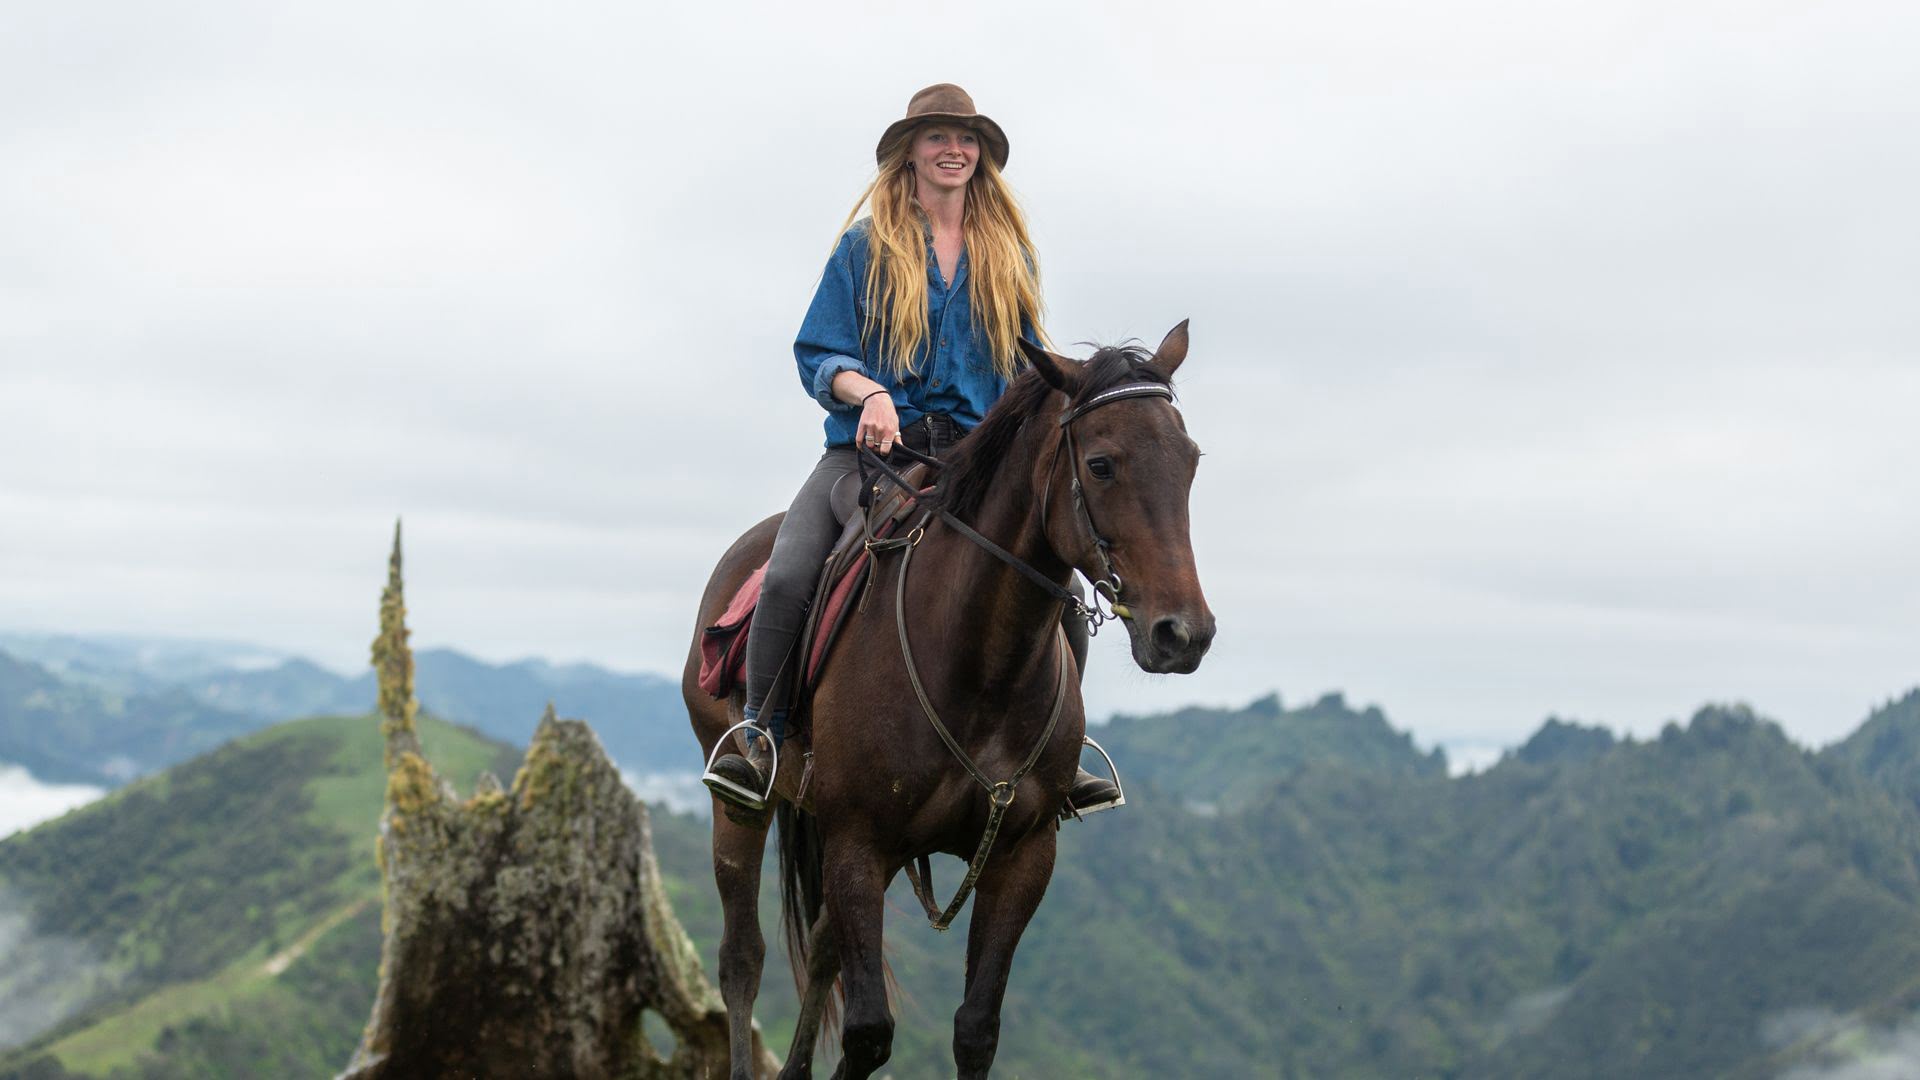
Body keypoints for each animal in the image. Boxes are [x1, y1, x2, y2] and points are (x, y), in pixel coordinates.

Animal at [683, 322, 1205, 1068]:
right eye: (1103, 464)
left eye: (1190, 462)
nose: (1183, 634)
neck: (979, 666)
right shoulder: (859, 843)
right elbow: (870, 1032)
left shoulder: (1022, 858)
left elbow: (976, 1029)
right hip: (743, 808)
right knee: (741, 959)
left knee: (822, 952)